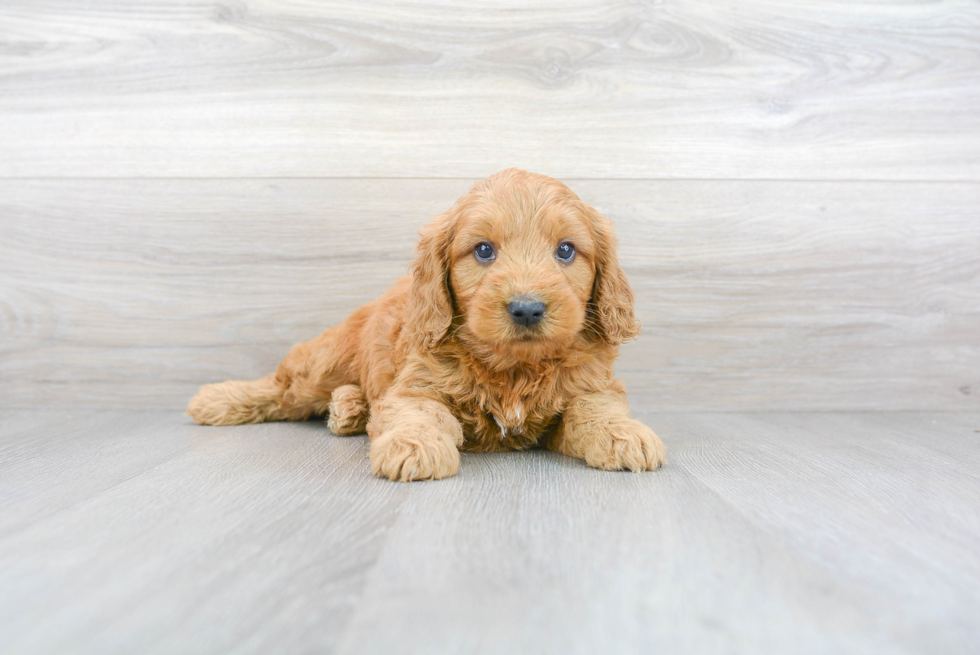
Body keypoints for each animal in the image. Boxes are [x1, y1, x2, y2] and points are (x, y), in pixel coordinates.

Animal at [189, 169, 668, 482]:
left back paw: (349, 408)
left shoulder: (591, 384)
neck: (513, 367)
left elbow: (595, 409)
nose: (528, 309)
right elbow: (416, 414)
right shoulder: (417, 384)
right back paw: (215, 400)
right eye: (483, 250)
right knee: (282, 387)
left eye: (566, 250)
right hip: (324, 361)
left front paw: (624, 434)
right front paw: (414, 448)